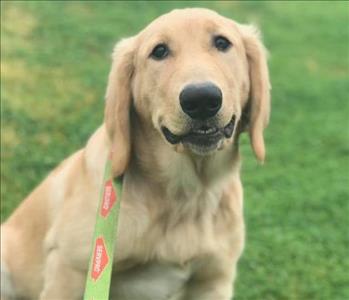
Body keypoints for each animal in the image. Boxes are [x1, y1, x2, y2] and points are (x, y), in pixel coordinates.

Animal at [0, 7, 270, 300]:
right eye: (159, 51)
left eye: (222, 43)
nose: (201, 99)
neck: (185, 195)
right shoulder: (69, 269)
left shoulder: (213, 281)